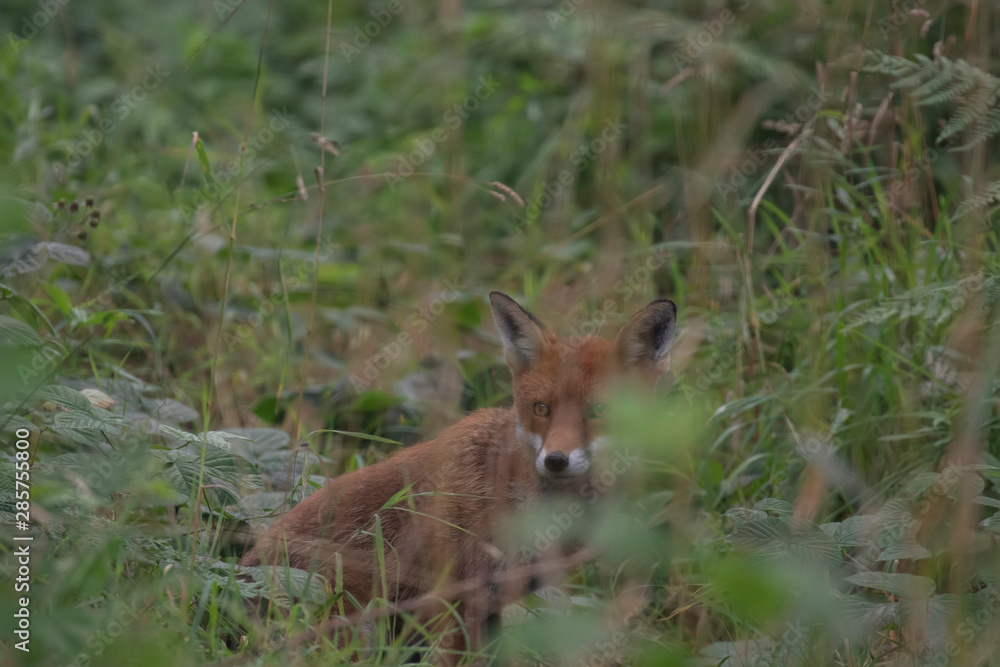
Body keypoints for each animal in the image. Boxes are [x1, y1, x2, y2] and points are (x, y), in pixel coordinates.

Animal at [240, 290, 680, 664]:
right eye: (541, 408)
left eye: (599, 410)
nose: (555, 460)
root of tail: (238, 579)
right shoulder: (458, 599)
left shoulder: (490, 604)